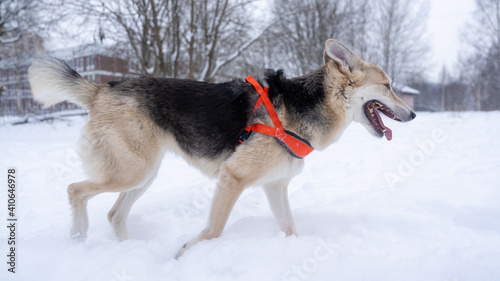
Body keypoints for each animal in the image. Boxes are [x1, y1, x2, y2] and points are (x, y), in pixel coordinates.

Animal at [28, 38, 418, 256]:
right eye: (387, 85)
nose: (414, 113)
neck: (306, 107)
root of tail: (101, 88)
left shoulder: (276, 187)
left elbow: (290, 228)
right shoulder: (233, 178)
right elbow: (214, 230)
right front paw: (185, 254)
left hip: (144, 175)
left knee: (113, 214)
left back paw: (130, 251)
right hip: (132, 172)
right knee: (75, 189)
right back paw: (78, 238)